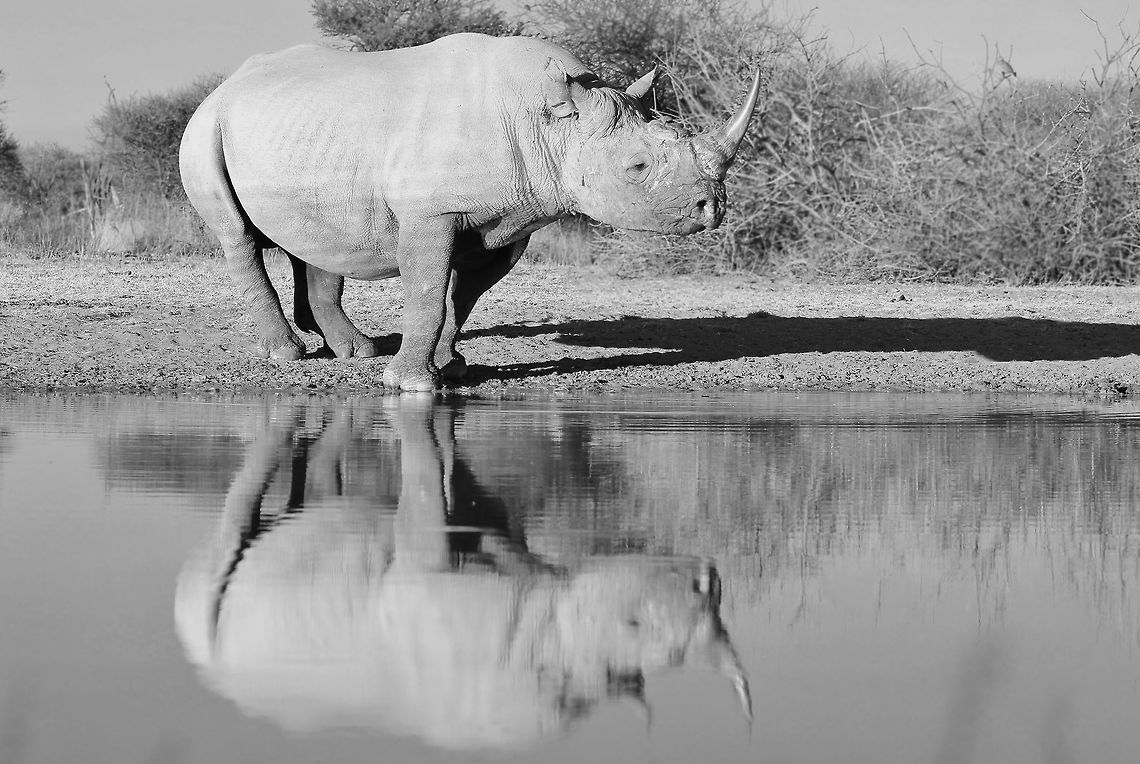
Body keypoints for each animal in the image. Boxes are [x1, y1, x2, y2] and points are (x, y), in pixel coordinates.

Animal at [174, 399, 751, 749]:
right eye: (632, 623)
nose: (708, 571)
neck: (546, 633)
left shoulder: (508, 568)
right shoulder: (425, 571)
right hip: (201, 613)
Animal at [179, 33, 762, 390]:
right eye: (637, 167)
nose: (713, 207)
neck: (549, 122)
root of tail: (224, 86)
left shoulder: (512, 218)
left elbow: (463, 297)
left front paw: (450, 366)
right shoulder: (429, 214)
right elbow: (427, 290)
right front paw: (412, 385)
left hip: (305, 130)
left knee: (319, 235)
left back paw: (356, 351)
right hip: (205, 125)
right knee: (238, 236)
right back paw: (288, 355)